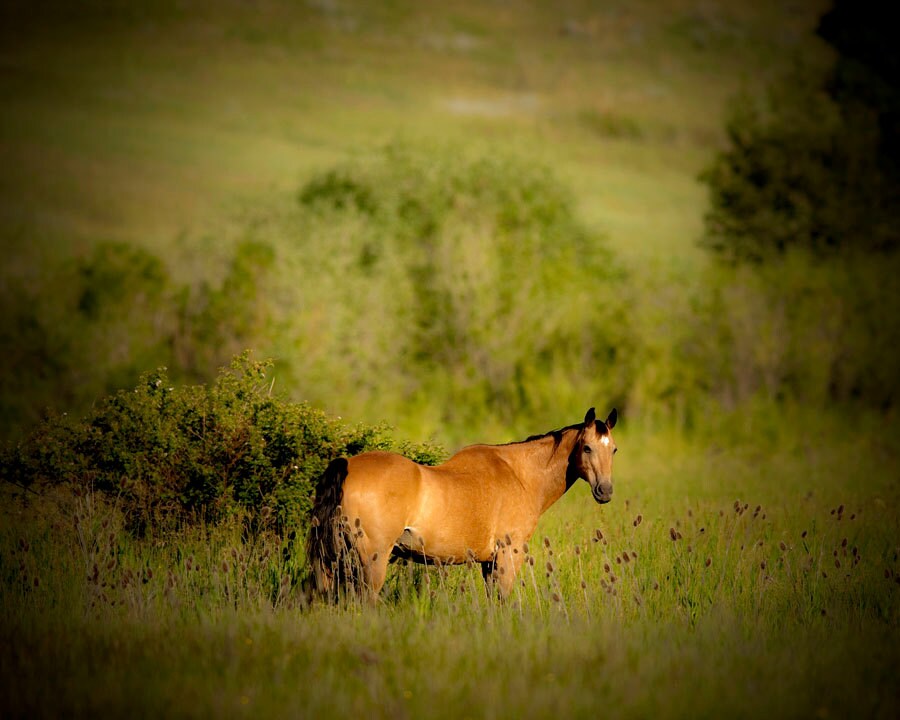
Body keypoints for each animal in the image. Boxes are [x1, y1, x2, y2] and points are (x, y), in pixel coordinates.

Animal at [305, 407, 618, 602]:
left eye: (613, 449)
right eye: (587, 448)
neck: (519, 474)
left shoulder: (490, 563)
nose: (605, 491)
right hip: (372, 560)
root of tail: (347, 466)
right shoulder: (509, 556)